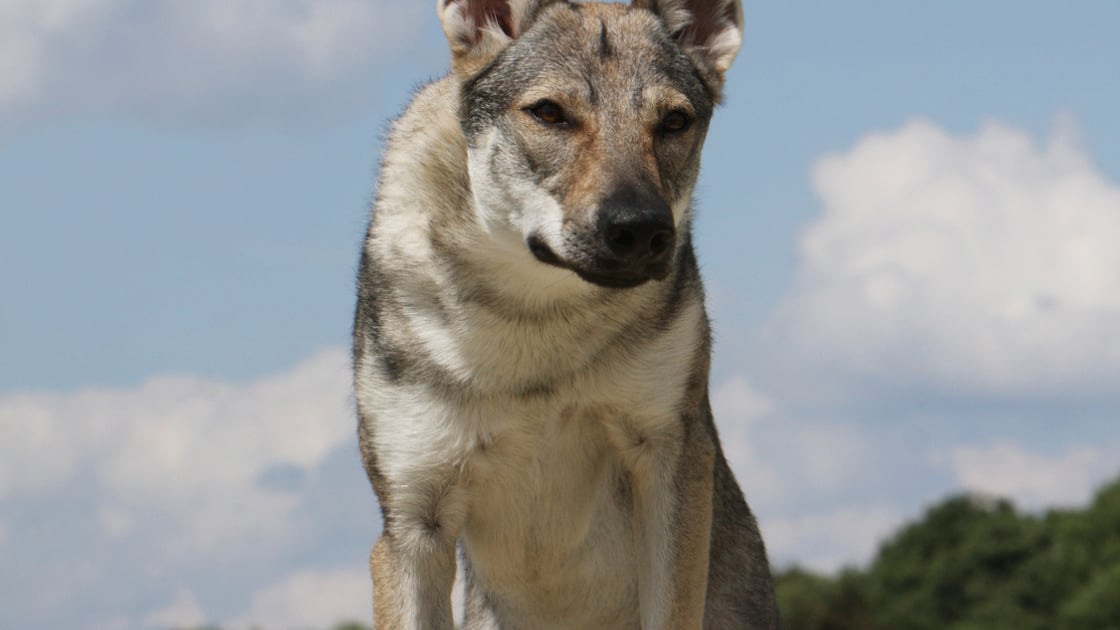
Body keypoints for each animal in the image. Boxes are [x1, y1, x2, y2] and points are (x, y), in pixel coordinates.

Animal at [356, 1, 779, 623]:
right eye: (549, 113)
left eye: (674, 122)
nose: (641, 229)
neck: (536, 318)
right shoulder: (412, 520)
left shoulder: (667, 455)